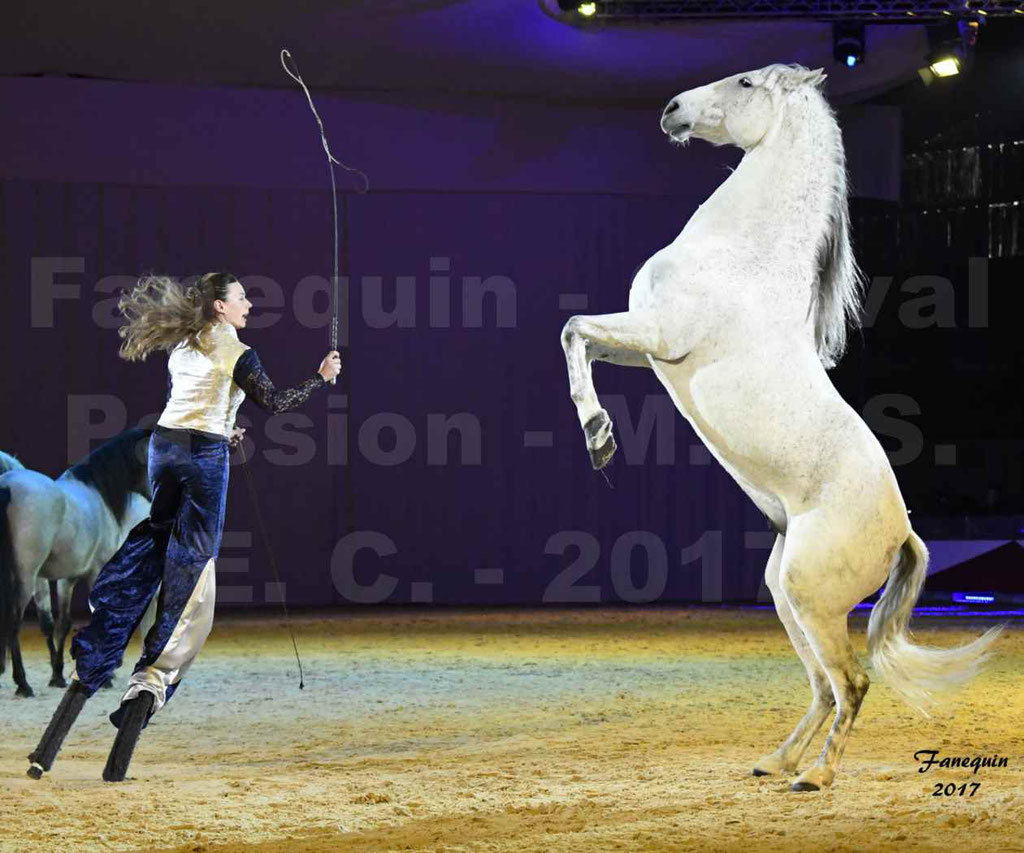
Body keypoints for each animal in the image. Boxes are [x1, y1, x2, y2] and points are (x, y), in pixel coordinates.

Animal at [561, 63, 999, 790]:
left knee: (851, 682)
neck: (742, 257)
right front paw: (600, 436)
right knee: (822, 685)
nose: (671, 110)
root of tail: (904, 531)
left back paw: (816, 776)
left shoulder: (660, 335)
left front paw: (598, 437)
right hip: (785, 593)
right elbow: (583, 340)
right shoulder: (644, 348)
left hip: (811, 595)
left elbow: (572, 329)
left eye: (743, 82)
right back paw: (777, 761)